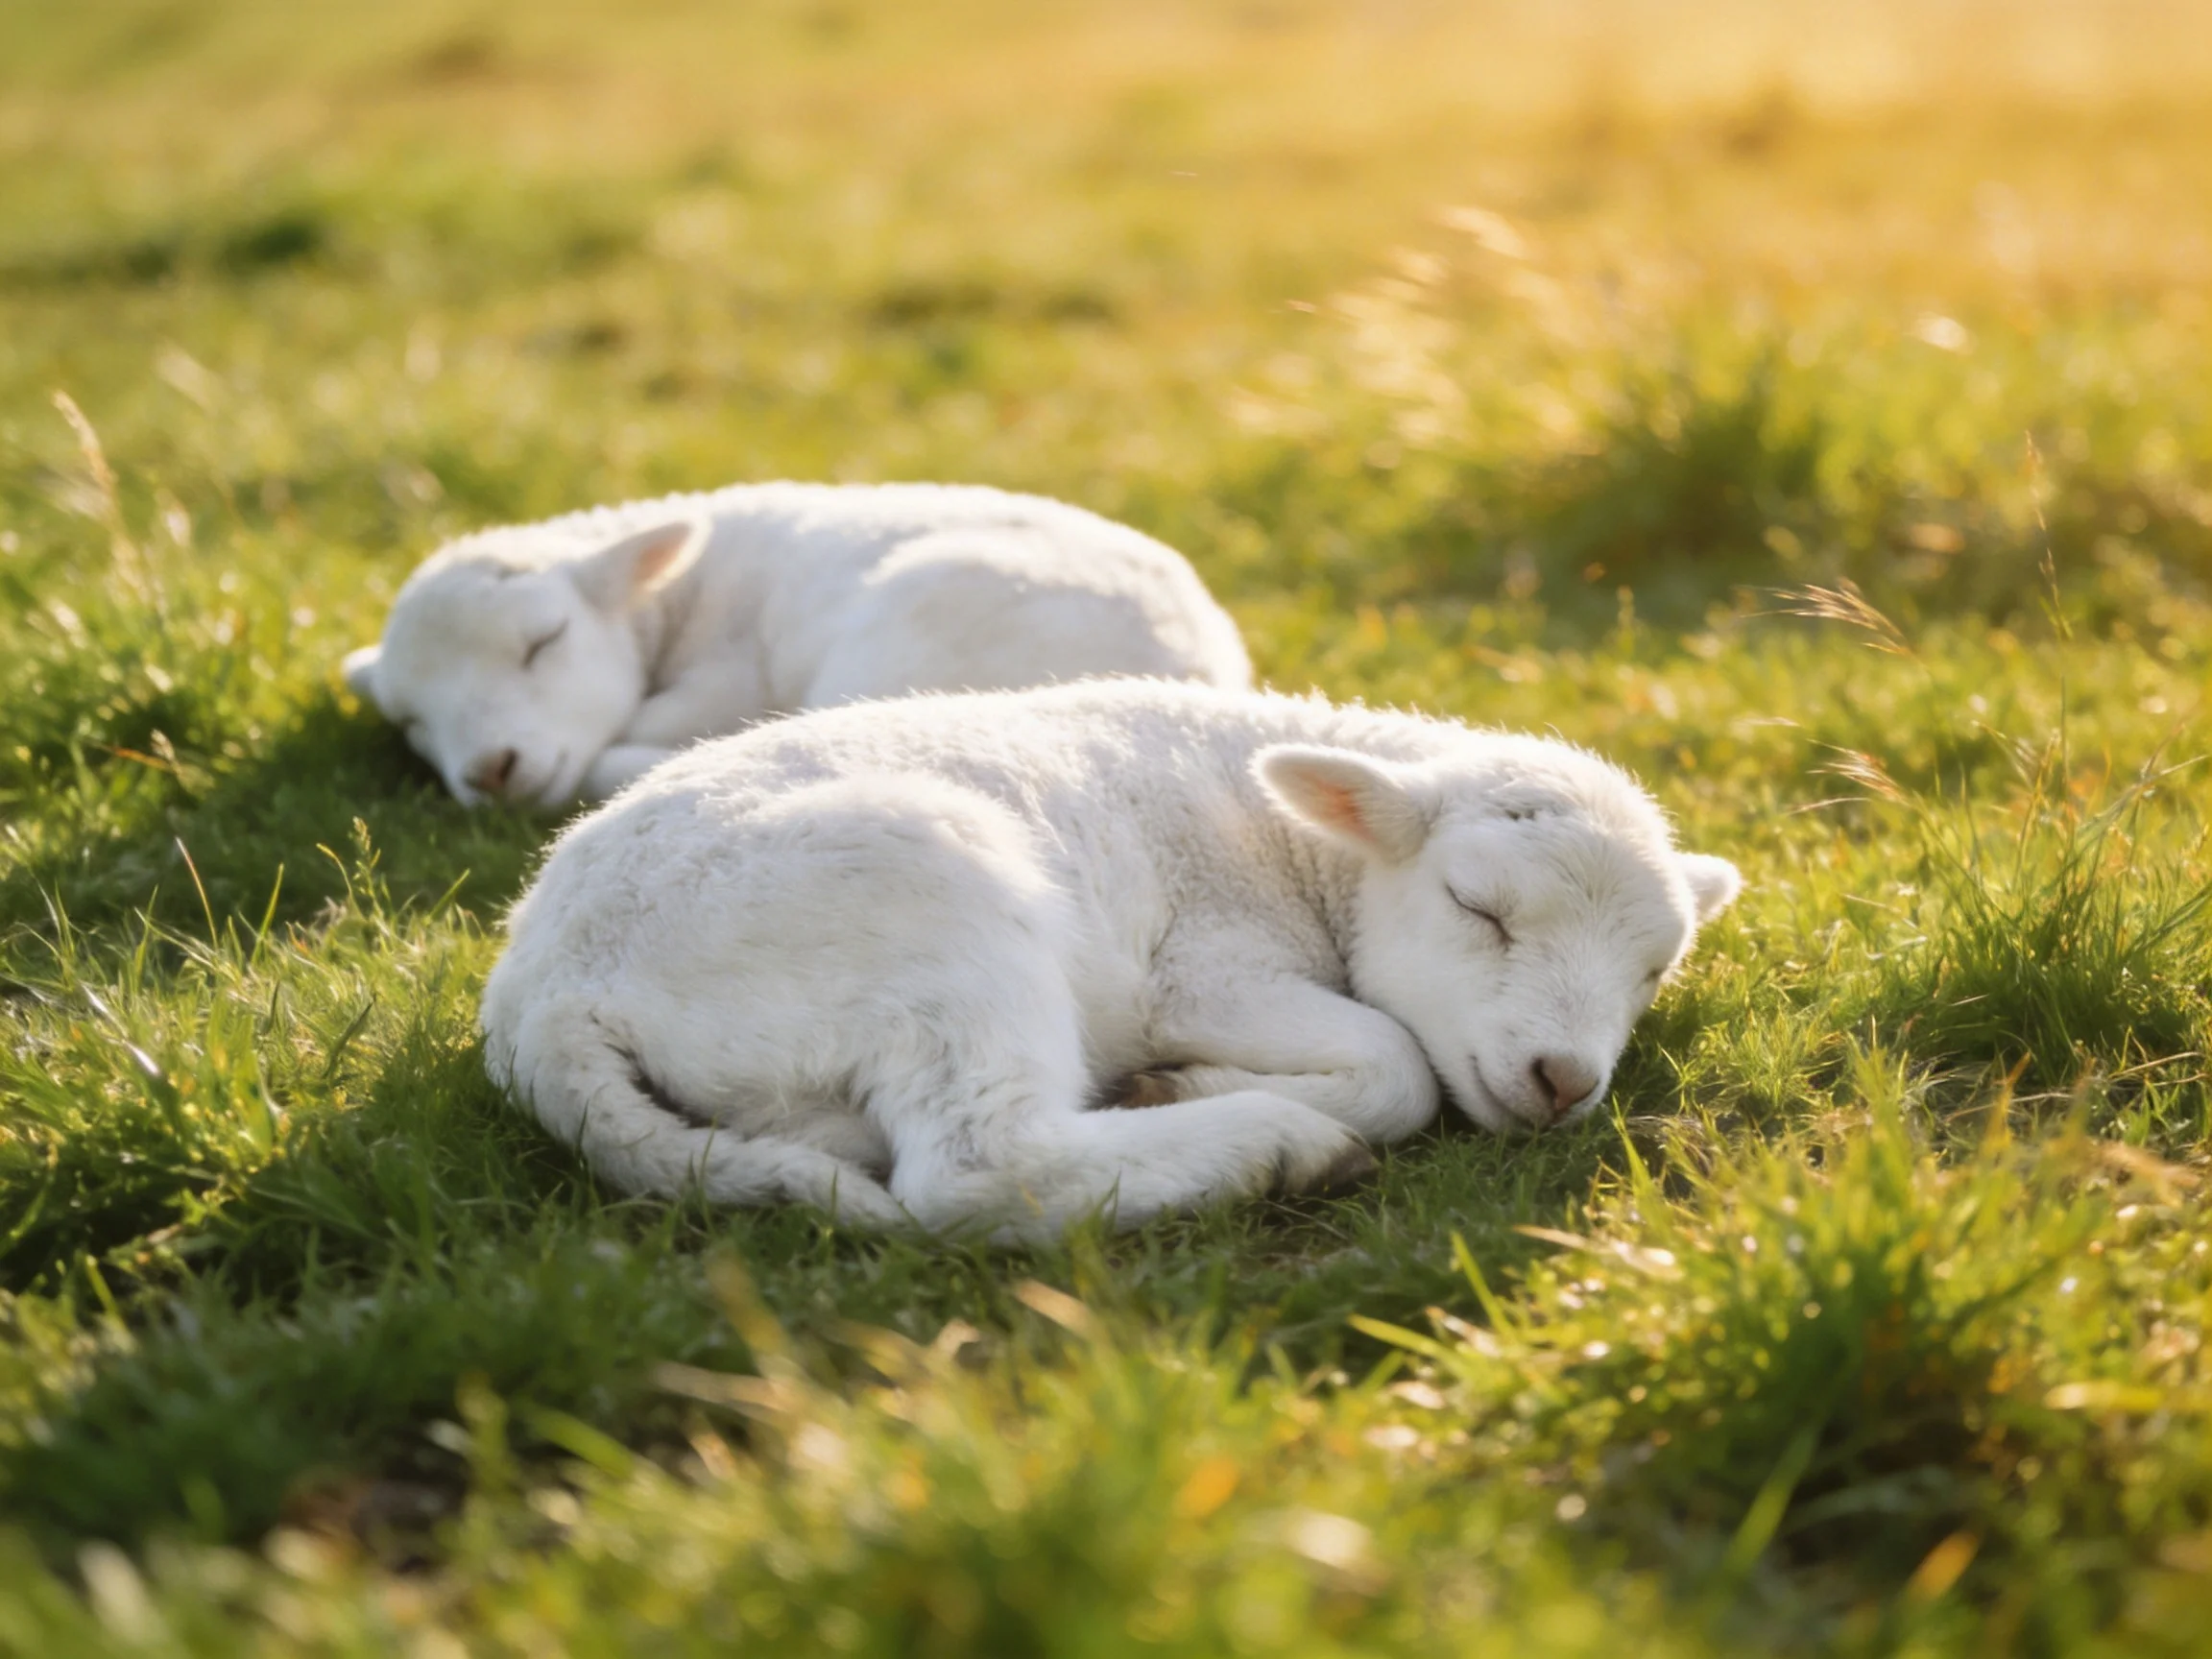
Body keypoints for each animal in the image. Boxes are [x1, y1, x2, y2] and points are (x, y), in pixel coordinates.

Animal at [480, 679, 1742, 1240]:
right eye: (1478, 910)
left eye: (1652, 975)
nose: (1563, 1083)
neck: (1301, 851)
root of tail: (551, 1001)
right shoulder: (1208, 965)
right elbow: (1398, 1063)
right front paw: (1189, 1083)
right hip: (936, 912)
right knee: (978, 1167)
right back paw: (1270, 1144)